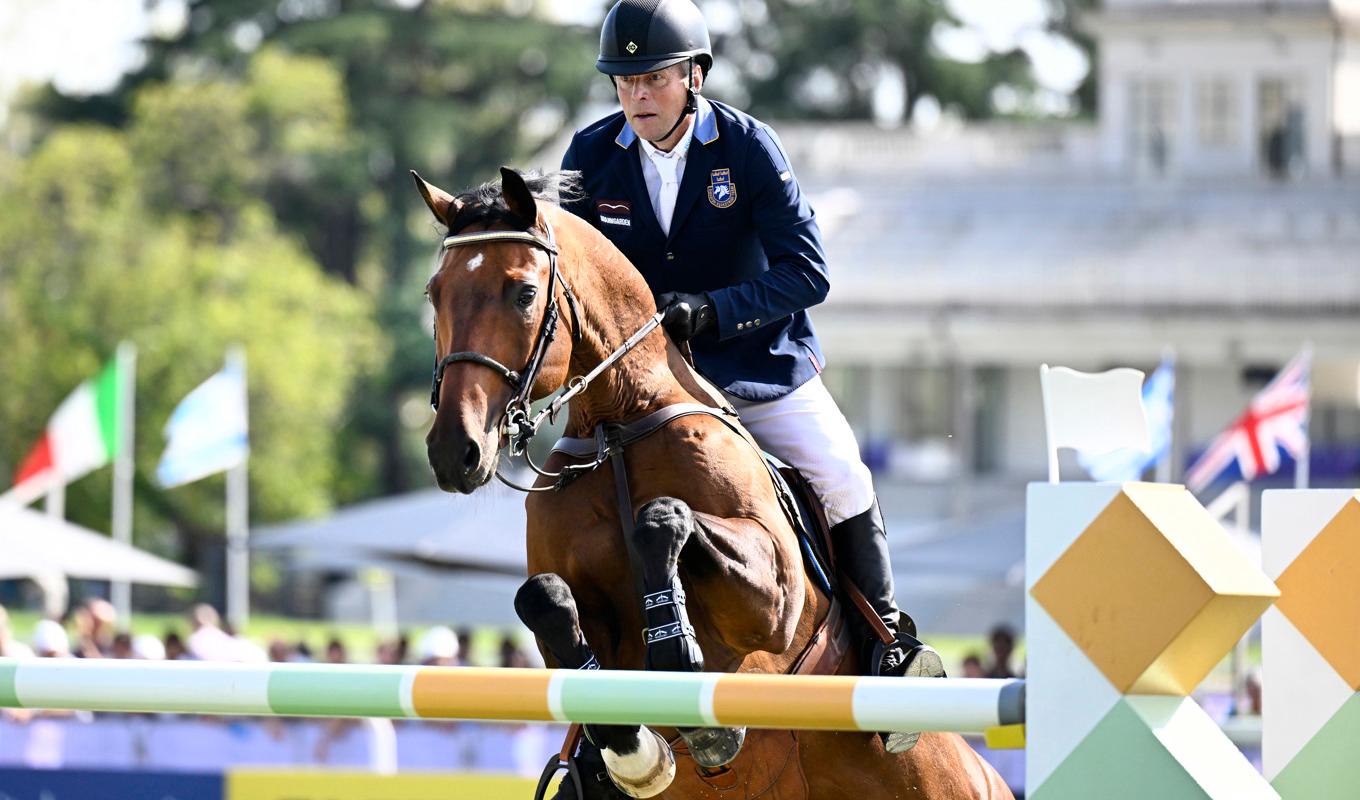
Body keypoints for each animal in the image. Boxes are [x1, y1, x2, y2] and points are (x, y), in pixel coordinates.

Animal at [413, 165, 1011, 794]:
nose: (455, 451)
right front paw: (636, 754)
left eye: (524, 293)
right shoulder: (573, 612)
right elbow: (544, 600)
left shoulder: (774, 597)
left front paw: (679, 659)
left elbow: (662, 516)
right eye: (434, 293)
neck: (617, 426)